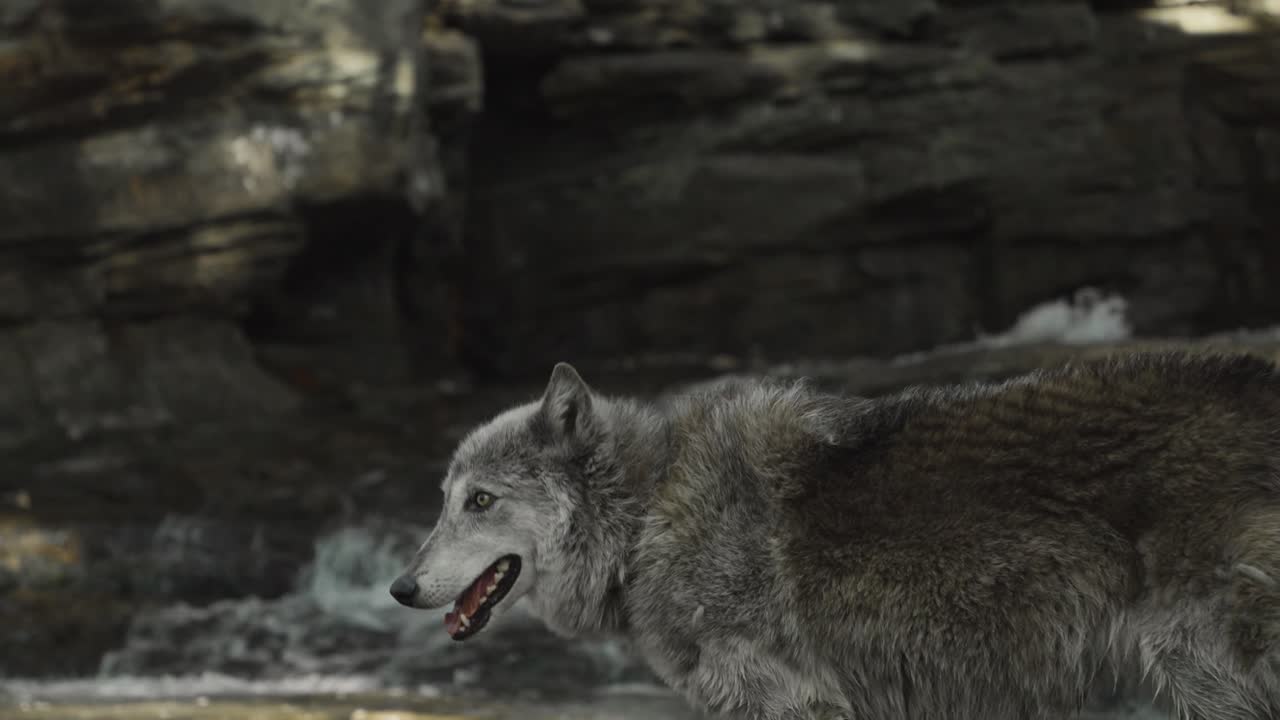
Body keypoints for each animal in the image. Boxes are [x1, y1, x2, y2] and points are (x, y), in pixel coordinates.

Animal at [390, 352, 1280, 719]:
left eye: (479, 500)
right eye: (443, 501)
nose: (399, 587)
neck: (647, 517)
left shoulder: (794, 702)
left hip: (1202, 671)